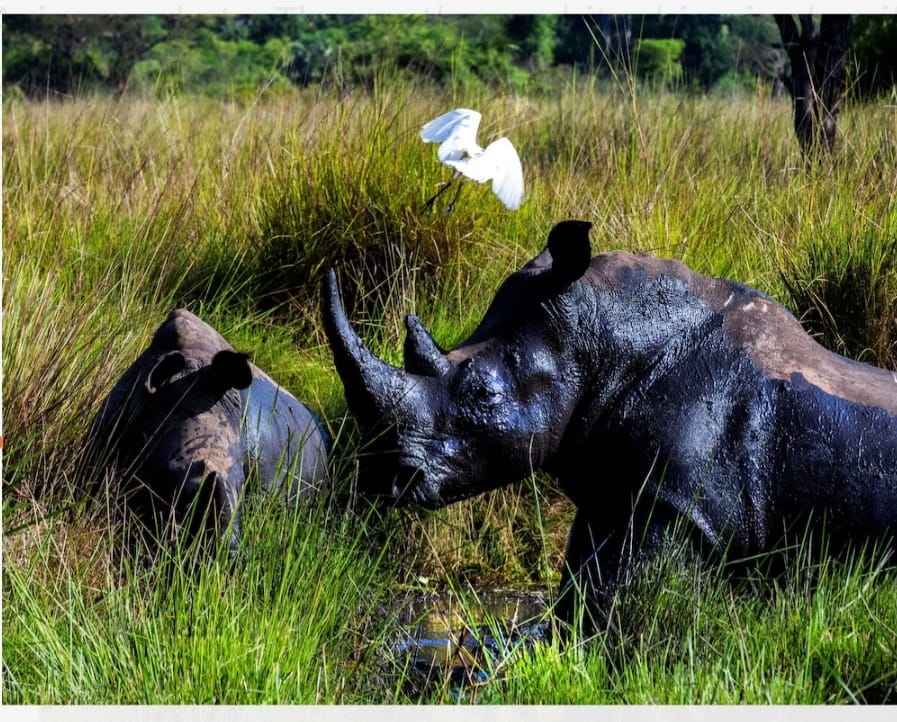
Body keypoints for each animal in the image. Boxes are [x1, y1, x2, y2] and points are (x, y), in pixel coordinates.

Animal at [322, 219, 897, 633]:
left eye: (484, 395)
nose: (382, 475)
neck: (602, 340)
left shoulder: (674, 498)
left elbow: (625, 603)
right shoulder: (609, 485)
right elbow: (580, 589)